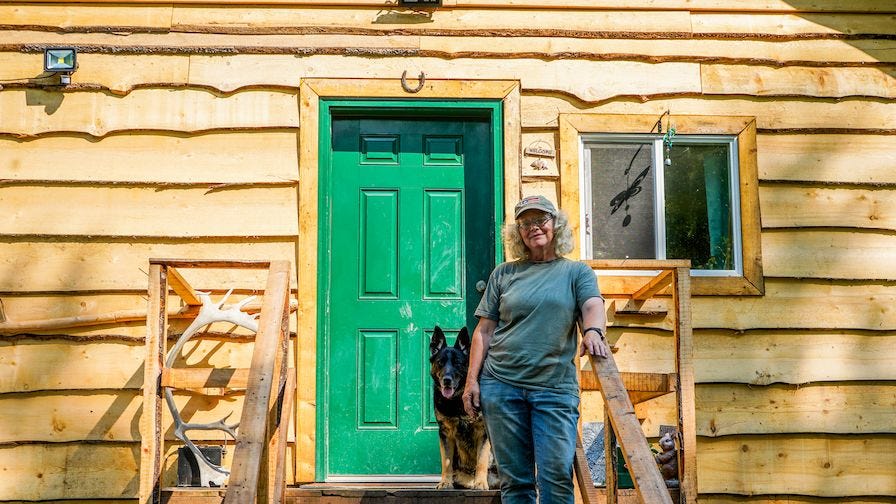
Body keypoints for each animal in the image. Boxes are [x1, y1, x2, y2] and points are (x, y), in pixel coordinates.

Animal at [428, 326, 496, 488]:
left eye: (457, 363)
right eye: (440, 362)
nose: (446, 380)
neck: (457, 400)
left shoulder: (483, 432)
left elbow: (481, 460)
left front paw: (480, 482)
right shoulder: (445, 433)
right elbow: (446, 461)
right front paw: (445, 482)